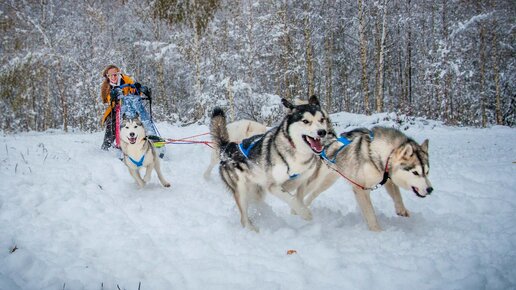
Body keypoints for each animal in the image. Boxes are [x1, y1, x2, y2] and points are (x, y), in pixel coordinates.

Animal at [211, 96, 334, 232]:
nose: (322, 132)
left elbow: (299, 196)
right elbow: (291, 198)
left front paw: (298, 210)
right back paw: (253, 230)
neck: (297, 152)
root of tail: (227, 148)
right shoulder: (273, 186)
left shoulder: (303, 179)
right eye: (305, 121)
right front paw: (304, 213)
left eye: (321, 119)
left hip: (256, 190)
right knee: (243, 219)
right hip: (241, 190)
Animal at [296, 127, 434, 231]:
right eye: (415, 172)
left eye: (427, 172)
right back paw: (297, 209)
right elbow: (370, 213)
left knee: (313, 194)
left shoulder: (387, 178)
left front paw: (401, 209)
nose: (430, 189)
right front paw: (377, 231)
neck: (382, 153)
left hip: (327, 182)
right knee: (301, 191)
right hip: (316, 179)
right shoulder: (361, 188)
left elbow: (397, 194)